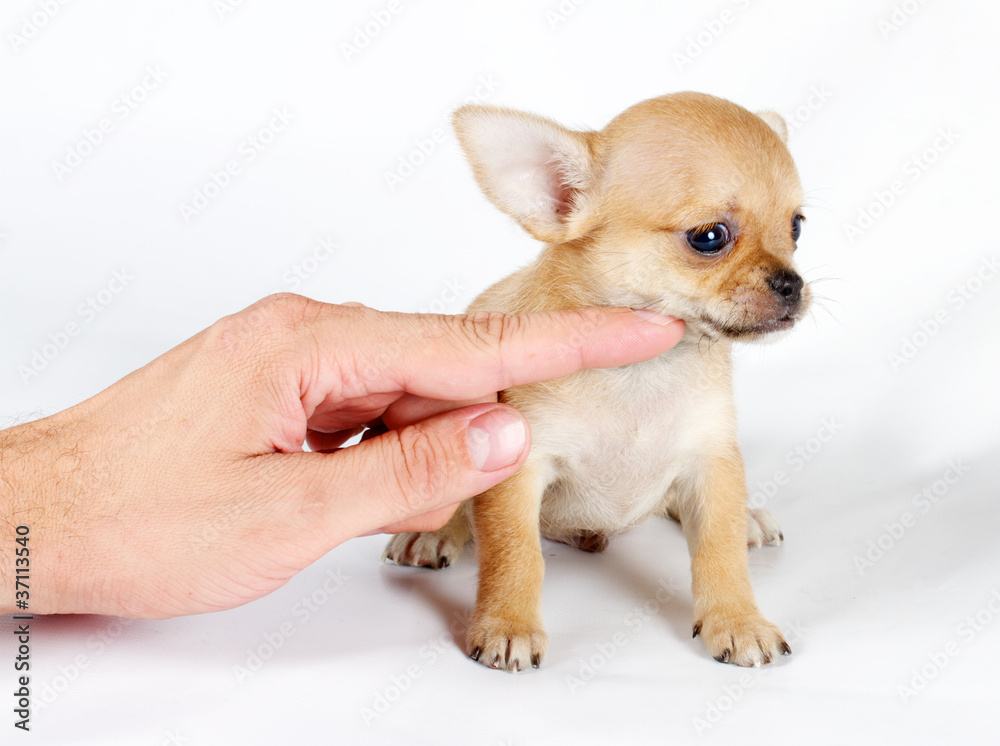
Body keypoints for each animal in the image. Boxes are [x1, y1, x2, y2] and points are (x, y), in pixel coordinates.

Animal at [384, 91, 812, 668]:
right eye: (709, 237)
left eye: (797, 228)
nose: (793, 284)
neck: (639, 373)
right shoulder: (517, 468)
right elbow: (515, 554)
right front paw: (507, 624)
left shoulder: (712, 458)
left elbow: (719, 552)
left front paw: (738, 619)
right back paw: (432, 536)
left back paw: (747, 519)